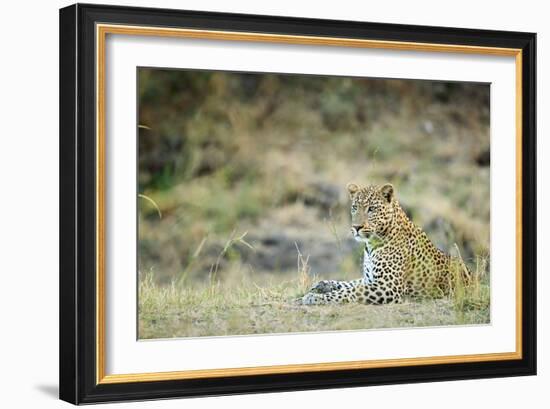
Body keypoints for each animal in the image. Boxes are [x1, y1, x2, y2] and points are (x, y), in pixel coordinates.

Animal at [300, 182, 472, 302]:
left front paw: (314, 298)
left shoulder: (388, 286)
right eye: (354, 207)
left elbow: (349, 291)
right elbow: (349, 283)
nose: (356, 227)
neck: (370, 245)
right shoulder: (370, 280)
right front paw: (321, 285)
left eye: (371, 209)